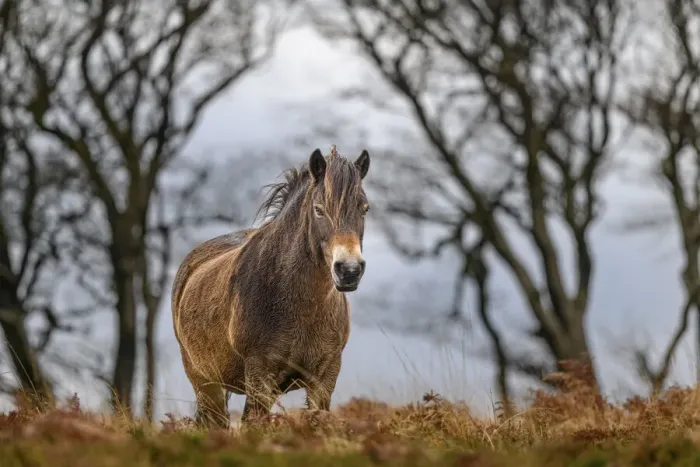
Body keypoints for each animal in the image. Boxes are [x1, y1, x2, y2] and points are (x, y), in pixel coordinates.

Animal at [171, 147, 371, 427]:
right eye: (319, 209)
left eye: (364, 208)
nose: (349, 270)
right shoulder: (259, 376)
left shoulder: (325, 377)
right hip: (205, 382)